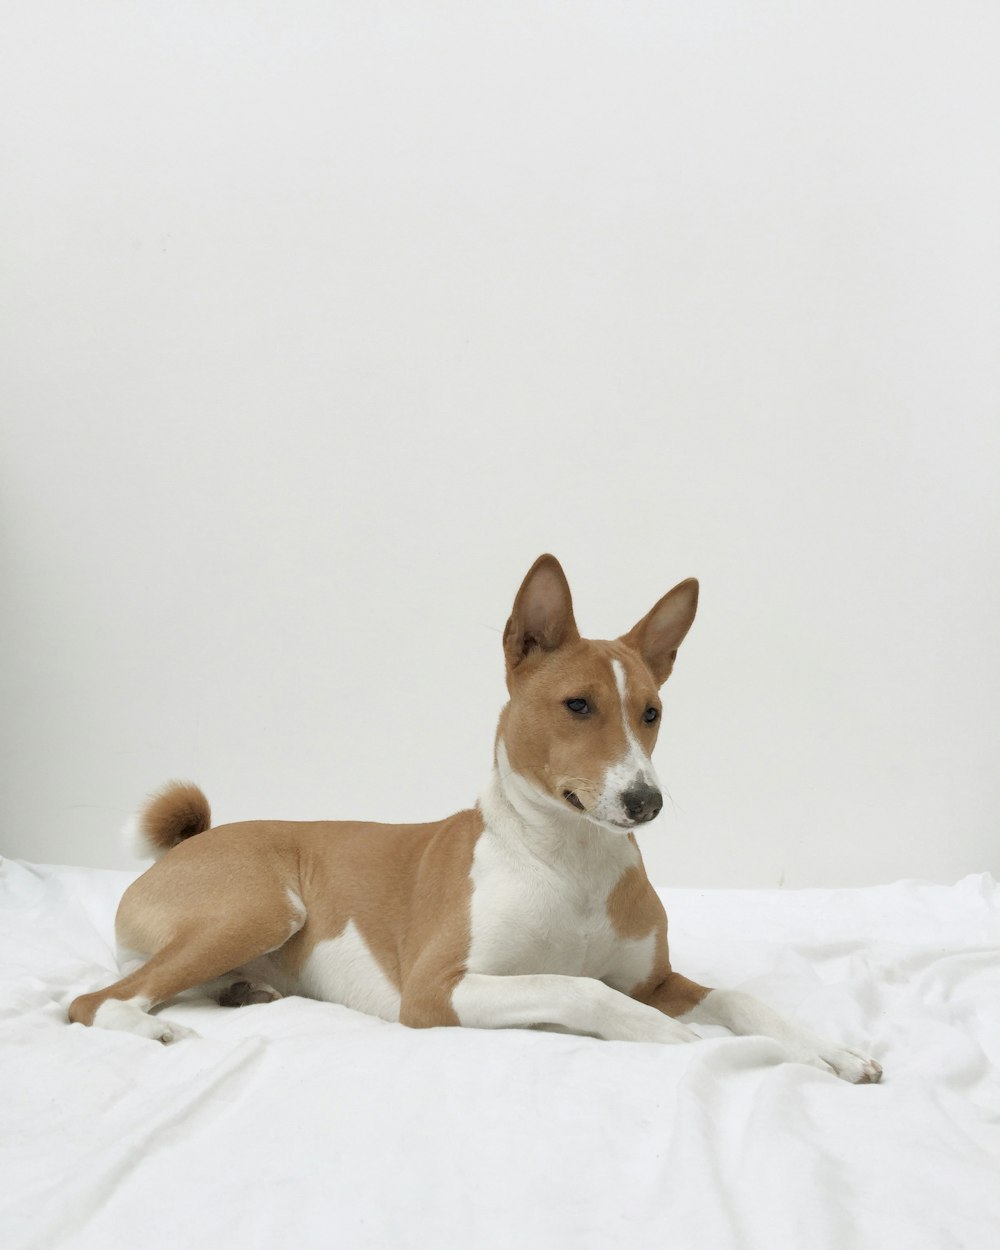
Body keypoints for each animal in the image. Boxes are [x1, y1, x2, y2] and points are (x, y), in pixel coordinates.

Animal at [70, 552, 885, 1080]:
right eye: (577, 705)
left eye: (652, 712)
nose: (644, 800)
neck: (572, 863)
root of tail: (196, 840)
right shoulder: (438, 988)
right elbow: (581, 988)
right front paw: (688, 1046)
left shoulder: (655, 979)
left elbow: (741, 997)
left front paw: (822, 1048)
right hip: (260, 907)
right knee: (91, 1001)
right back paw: (155, 1028)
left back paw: (241, 993)